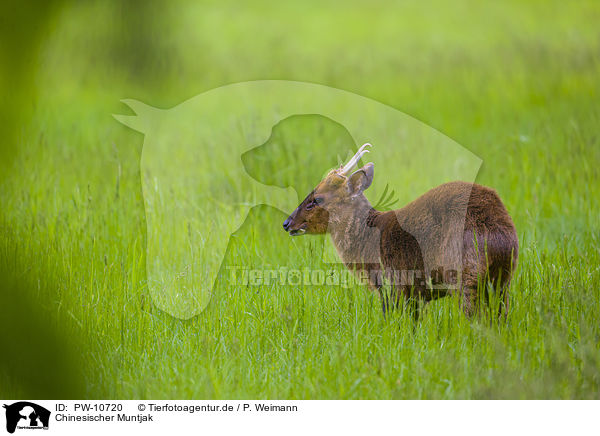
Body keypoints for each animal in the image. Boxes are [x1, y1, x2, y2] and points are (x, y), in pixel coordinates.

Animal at [284, 145, 516, 318]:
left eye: (316, 199)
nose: (287, 223)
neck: (367, 243)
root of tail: (499, 236)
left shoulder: (394, 285)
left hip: (464, 276)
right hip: (502, 278)